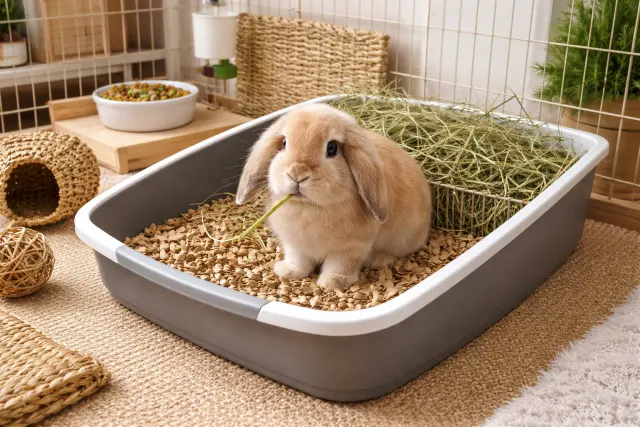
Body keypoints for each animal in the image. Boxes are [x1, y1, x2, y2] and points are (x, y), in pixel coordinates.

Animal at [235, 103, 432, 291]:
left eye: (332, 148)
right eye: (284, 143)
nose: (297, 173)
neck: (308, 207)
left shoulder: (350, 248)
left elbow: (340, 265)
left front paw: (333, 282)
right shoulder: (295, 244)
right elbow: (298, 261)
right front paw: (288, 272)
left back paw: (377, 259)